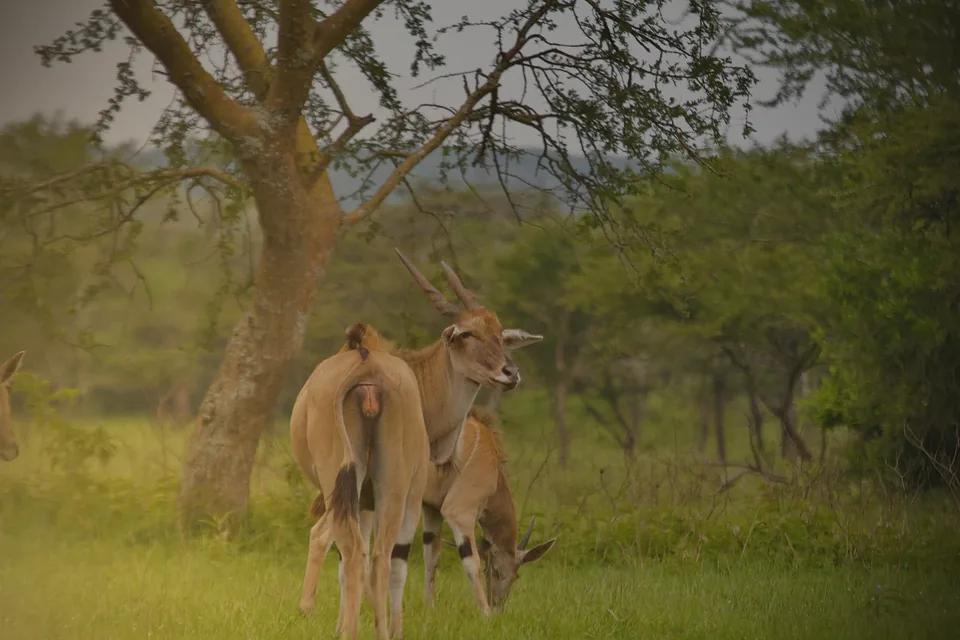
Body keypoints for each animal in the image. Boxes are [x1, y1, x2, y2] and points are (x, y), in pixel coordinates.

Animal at [298, 250, 542, 620]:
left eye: (500, 334)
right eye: (467, 334)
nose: (510, 373)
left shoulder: (410, 503)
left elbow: (423, 554)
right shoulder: (451, 504)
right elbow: (458, 556)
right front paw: (483, 615)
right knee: (324, 535)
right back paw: (308, 609)